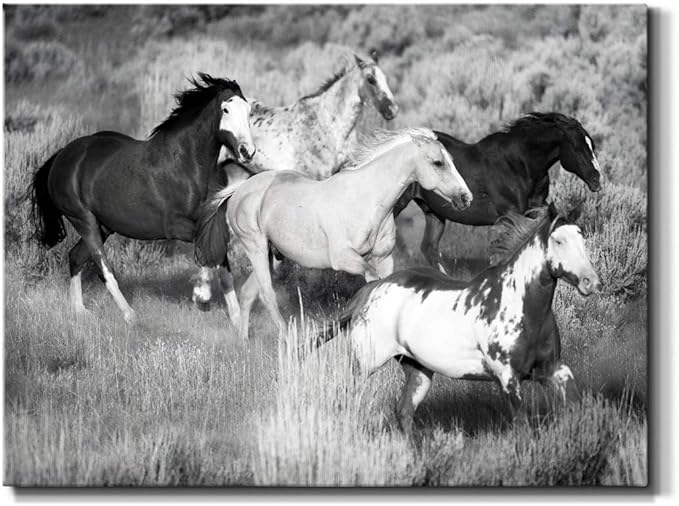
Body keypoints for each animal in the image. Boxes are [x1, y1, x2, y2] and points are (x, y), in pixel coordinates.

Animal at [30, 73, 255, 324]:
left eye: (248, 111)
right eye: (226, 109)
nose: (247, 151)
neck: (184, 164)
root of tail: (61, 156)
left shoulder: (210, 222)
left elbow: (219, 256)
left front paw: (237, 319)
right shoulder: (175, 227)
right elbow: (205, 249)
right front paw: (202, 297)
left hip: (104, 225)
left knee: (75, 257)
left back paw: (79, 311)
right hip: (84, 220)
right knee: (103, 268)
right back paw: (130, 316)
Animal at [197, 127, 473, 341]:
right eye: (438, 163)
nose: (466, 198)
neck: (368, 199)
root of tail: (240, 190)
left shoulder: (385, 259)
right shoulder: (345, 259)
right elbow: (372, 282)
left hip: (270, 254)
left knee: (248, 294)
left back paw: (244, 341)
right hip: (255, 246)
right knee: (266, 294)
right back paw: (288, 339)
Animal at [320, 205, 601, 437]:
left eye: (582, 239)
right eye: (559, 240)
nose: (591, 282)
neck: (522, 307)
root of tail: (373, 289)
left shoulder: (551, 369)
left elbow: (577, 403)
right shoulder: (508, 379)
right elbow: (523, 426)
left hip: (418, 371)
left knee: (404, 411)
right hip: (365, 364)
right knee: (349, 400)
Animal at [393, 113, 602, 272]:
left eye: (592, 144)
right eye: (577, 146)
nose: (596, 179)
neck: (518, 165)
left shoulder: (534, 212)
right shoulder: (510, 216)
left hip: (434, 213)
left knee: (429, 248)